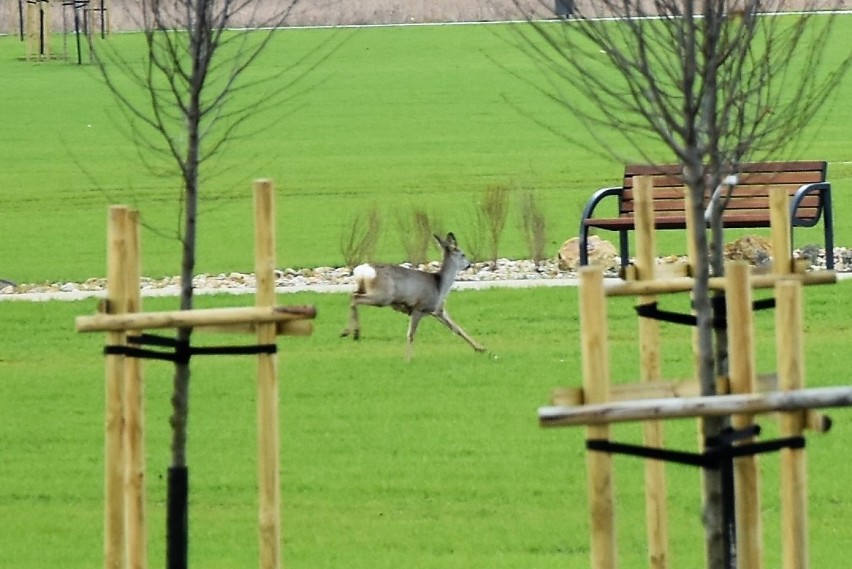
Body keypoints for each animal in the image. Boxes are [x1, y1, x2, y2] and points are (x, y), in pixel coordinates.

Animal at [340, 232, 486, 360]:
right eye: (463, 254)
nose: (469, 265)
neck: (440, 286)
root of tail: (362, 271)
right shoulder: (418, 308)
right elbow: (410, 335)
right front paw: (407, 358)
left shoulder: (437, 310)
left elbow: (457, 328)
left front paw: (480, 348)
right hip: (383, 296)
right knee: (355, 298)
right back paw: (349, 332)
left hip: (366, 289)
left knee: (353, 296)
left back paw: (354, 334)